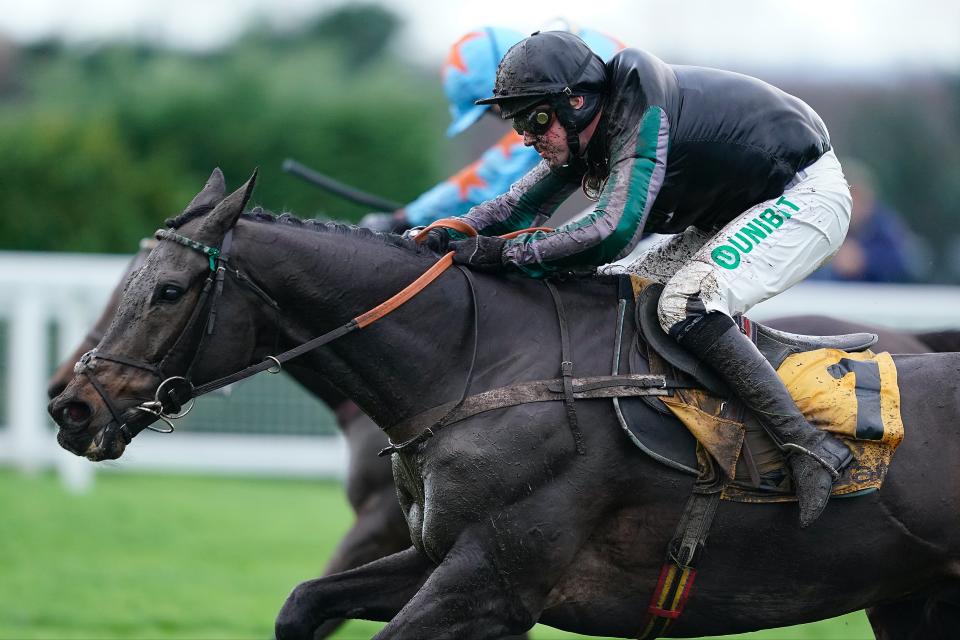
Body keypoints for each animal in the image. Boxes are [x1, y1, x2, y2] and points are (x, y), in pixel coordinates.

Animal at [50, 172, 960, 636]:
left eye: (168, 290)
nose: (70, 407)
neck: (477, 364)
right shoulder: (435, 553)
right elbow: (303, 603)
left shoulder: (493, 582)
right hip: (911, 604)